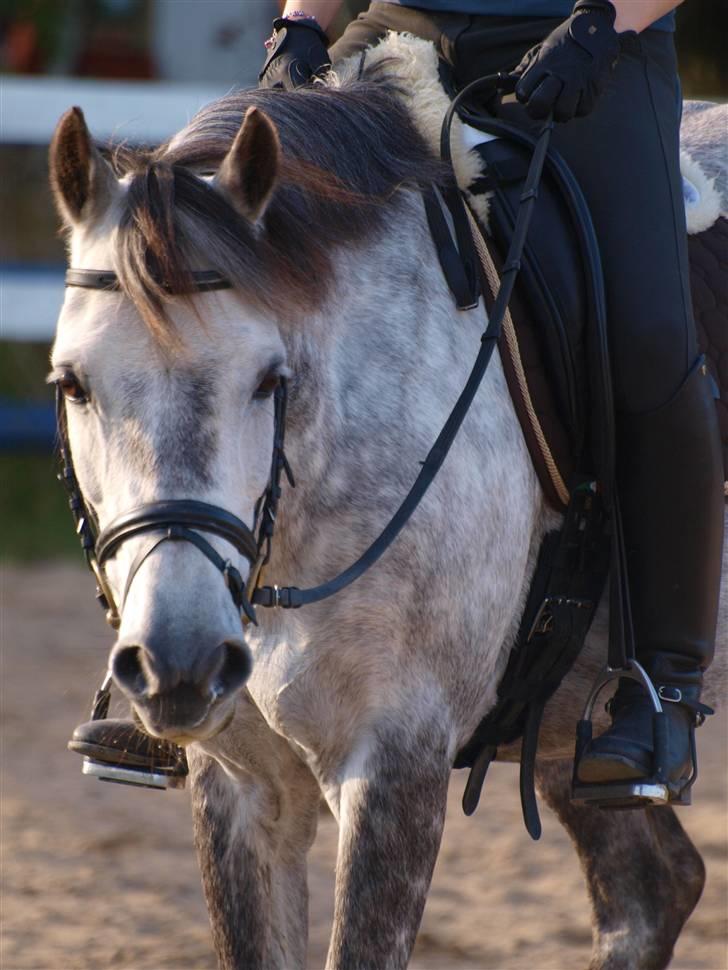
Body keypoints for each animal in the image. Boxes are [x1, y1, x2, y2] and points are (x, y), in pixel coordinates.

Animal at [48, 64, 724, 964]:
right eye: (72, 383)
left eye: (270, 379)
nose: (179, 662)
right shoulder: (238, 781)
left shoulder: (396, 761)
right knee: (650, 887)